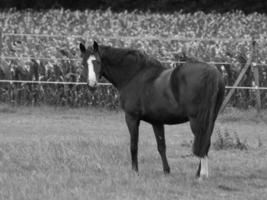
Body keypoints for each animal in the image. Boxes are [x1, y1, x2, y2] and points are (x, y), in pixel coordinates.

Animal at [80, 41, 226, 180]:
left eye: (98, 62)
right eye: (83, 63)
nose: (91, 85)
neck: (134, 75)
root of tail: (211, 72)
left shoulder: (131, 117)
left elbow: (134, 145)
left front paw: (135, 171)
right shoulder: (157, 121)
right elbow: (161, 146)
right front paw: (166, 171)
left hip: (197, 120)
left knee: (202, 142)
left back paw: (202, 175)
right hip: (211, 119)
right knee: (205, 142)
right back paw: (199, 174)